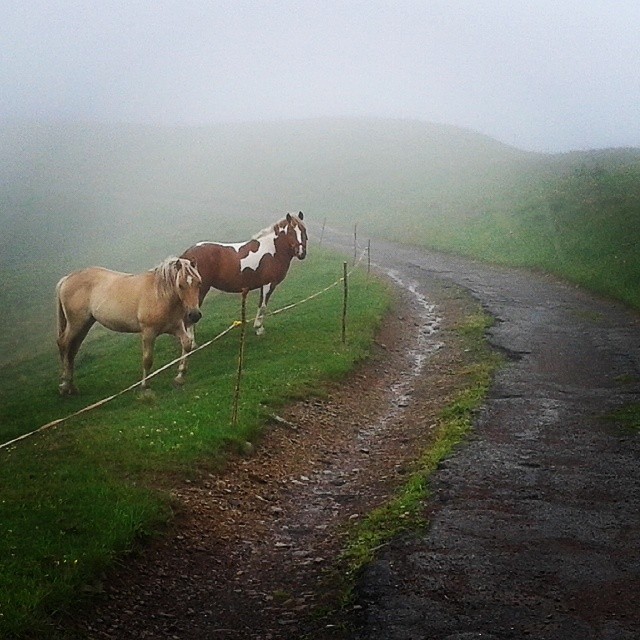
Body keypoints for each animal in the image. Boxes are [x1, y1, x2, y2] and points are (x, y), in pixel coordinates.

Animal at [56, 257, 202, 395]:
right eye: (180, 285)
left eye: (199, 283)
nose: (194, 315)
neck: (160, 295)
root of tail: (66, 279)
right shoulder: (148, 332)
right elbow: (147, 359)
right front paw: (145, 386)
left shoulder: (176, 327)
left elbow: (187, 344)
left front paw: (180, 377)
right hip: (76, 324)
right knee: (63, 344)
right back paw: (65, 385)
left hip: (85, 325)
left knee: (72, 351)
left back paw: (71, 386)